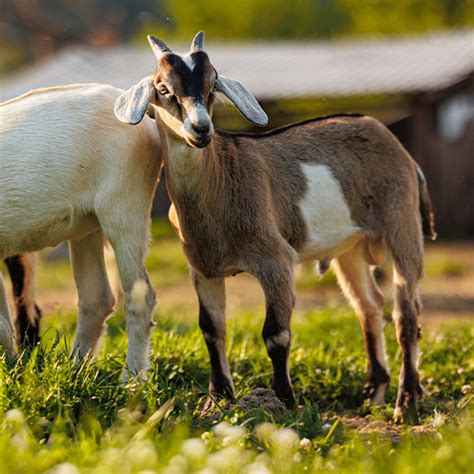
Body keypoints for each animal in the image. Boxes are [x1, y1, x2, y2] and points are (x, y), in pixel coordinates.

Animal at [0, 82, 161, 378]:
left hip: (124, 210)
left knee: (140, 297)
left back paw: (131, 381)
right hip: (87, 228)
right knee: (96, 298)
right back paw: (76, 370)